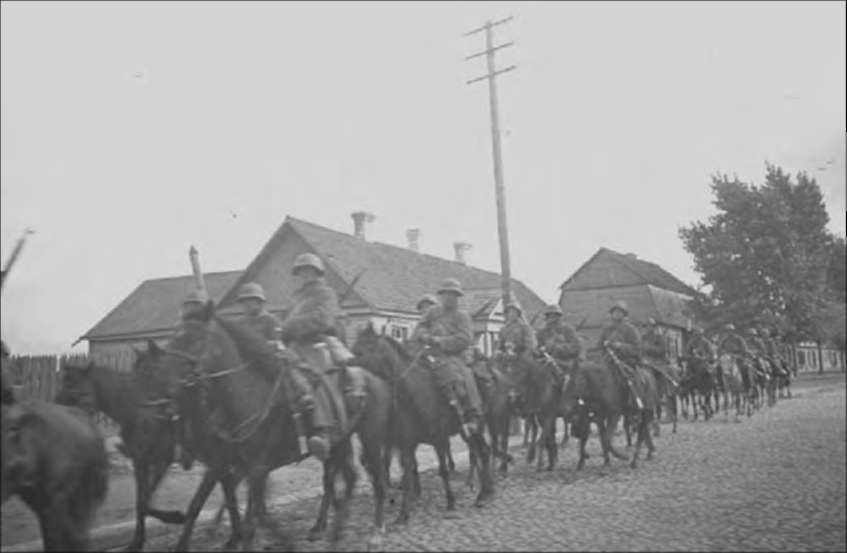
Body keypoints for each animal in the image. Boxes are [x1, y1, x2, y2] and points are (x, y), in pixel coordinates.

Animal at [57, 356, 188, 548]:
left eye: (75, 389)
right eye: (63, 386)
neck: (137, 409)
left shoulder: (162, 460)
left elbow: (144, 503)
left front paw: (177, 517)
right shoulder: (140, 461)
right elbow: (141, 502)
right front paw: (137, 542)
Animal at [352, 326, 496, 524]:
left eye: (362, 351)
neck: (414, 393)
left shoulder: (439, 439)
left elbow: (443, 470)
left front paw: (450, 503)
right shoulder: (406, 444)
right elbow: (407, 474)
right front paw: (403, 514)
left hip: (476, 426)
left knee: (483, 451)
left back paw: (482, 494)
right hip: (466, 431)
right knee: (481, 451)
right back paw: (485, 489)